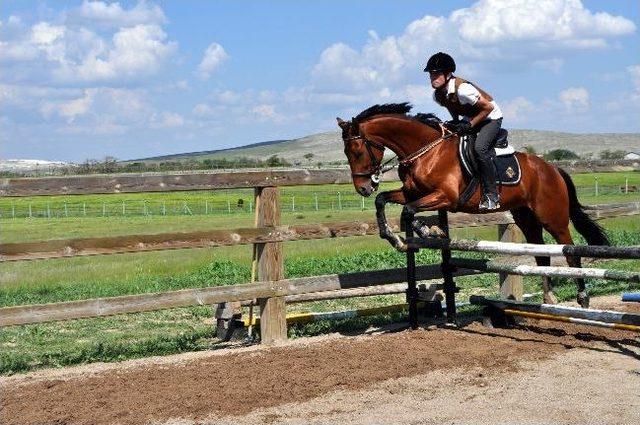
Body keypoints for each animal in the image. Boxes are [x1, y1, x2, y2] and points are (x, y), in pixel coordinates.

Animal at [336, 103, 608, 308]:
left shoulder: (446, 196)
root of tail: (552, 168)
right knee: (541, 254)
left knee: (570, 252)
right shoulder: (411, 192)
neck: (425, 151)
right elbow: (383, 201)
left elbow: (409, 211)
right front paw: (395, 238)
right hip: (526, 218)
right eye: (346, 152)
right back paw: (549, 297)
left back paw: (583, 298)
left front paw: (428, 232)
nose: (363, 188)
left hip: (553, 218)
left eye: (357, 150)